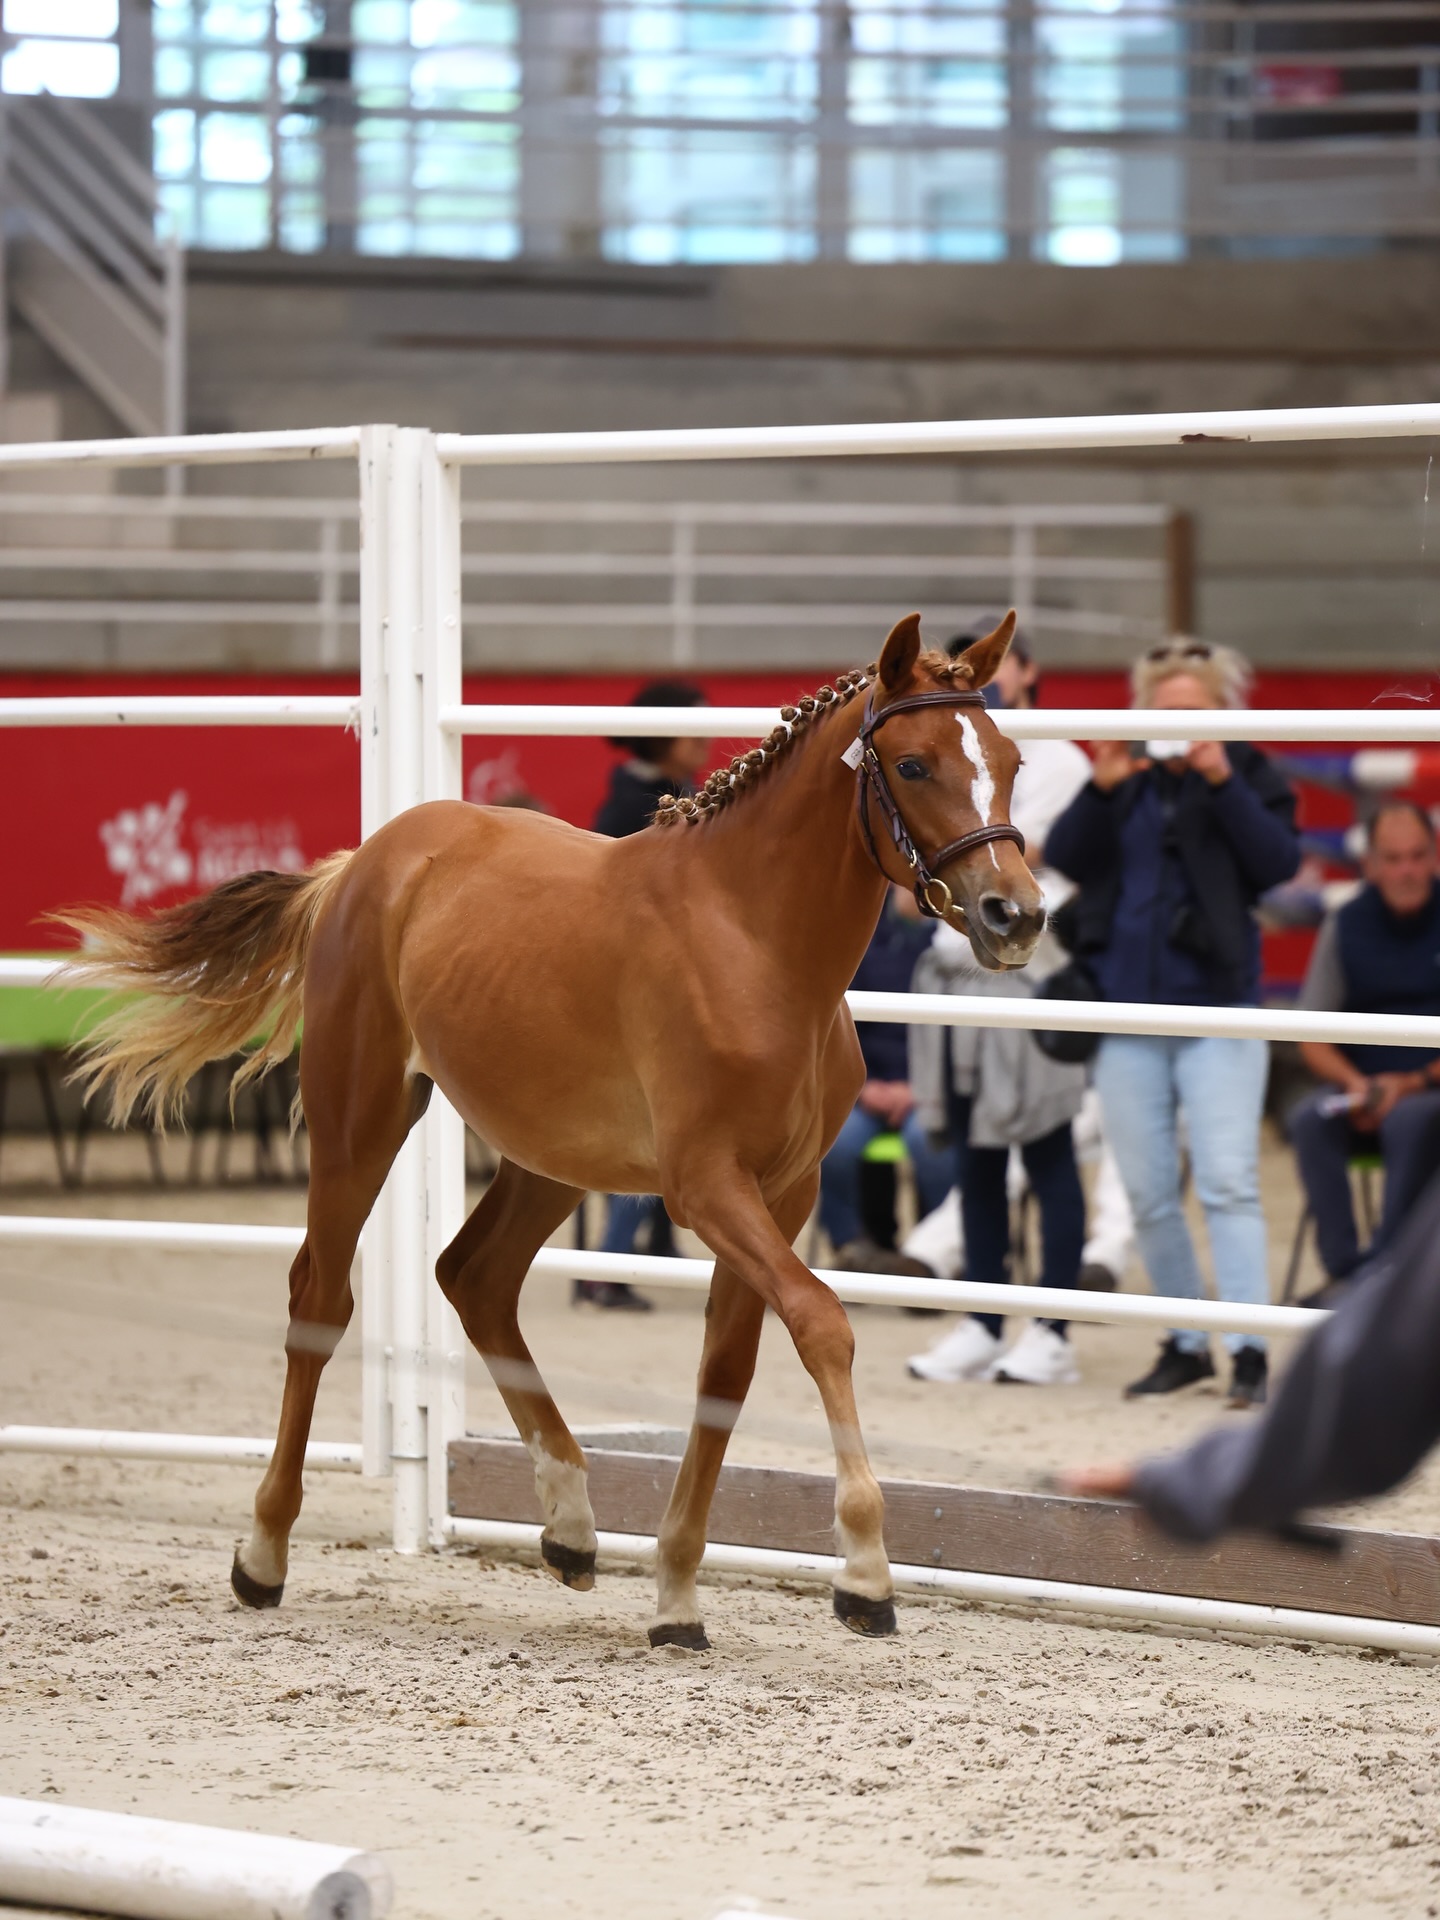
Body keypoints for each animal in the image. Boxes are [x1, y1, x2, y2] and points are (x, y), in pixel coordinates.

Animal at [59, 610, 1044, 1649]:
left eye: (1010, 758)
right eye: (913, 766)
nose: (1014, 914)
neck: (752, 942)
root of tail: (364, 863)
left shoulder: (784, 1191)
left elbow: (727, 1371)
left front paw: (678, 1597)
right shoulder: (705, 1186)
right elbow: (821, 1322)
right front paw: (864, 1573)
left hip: (551, 1158)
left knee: (475, 1278)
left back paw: (570, 1527)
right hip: (360, 1120)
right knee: (321, 1299)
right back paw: (263, 1555)